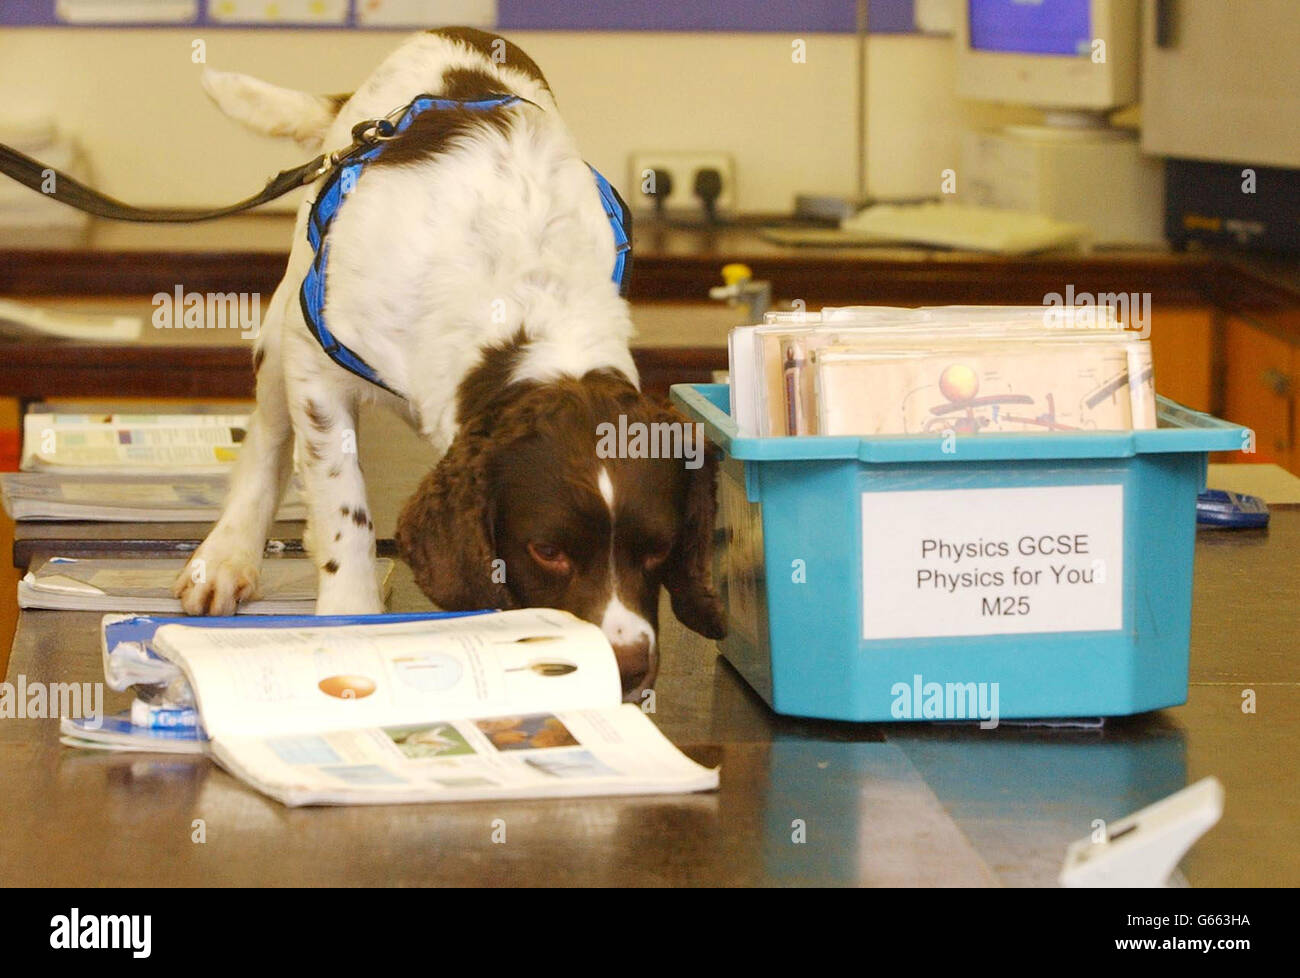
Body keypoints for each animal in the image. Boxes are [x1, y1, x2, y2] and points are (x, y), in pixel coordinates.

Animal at [172, 22, 728, 697]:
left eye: (659, 549)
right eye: (548, 551)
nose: (627, 672)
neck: (523, 297)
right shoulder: (317, 362)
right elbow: (343, 505)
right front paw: (350, 613)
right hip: (288, 316)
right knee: (268, 438)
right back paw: (226, 556)